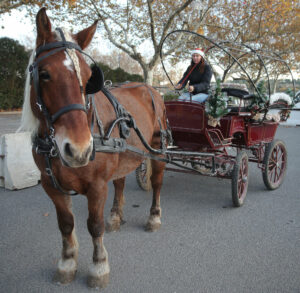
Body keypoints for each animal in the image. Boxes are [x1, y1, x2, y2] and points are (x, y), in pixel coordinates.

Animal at [19, 8, 166, 288]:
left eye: (89, 78)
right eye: (44, 74)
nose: (79, 150)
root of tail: (150, 88)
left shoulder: (97, 186)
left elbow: (94, 225)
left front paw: (99, 267)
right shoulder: (50, 184)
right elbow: (66, 224)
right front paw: (67, 263)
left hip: (157, 148)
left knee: (156, 182)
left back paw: (154, 217)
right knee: (120, 182)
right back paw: (116, 216)